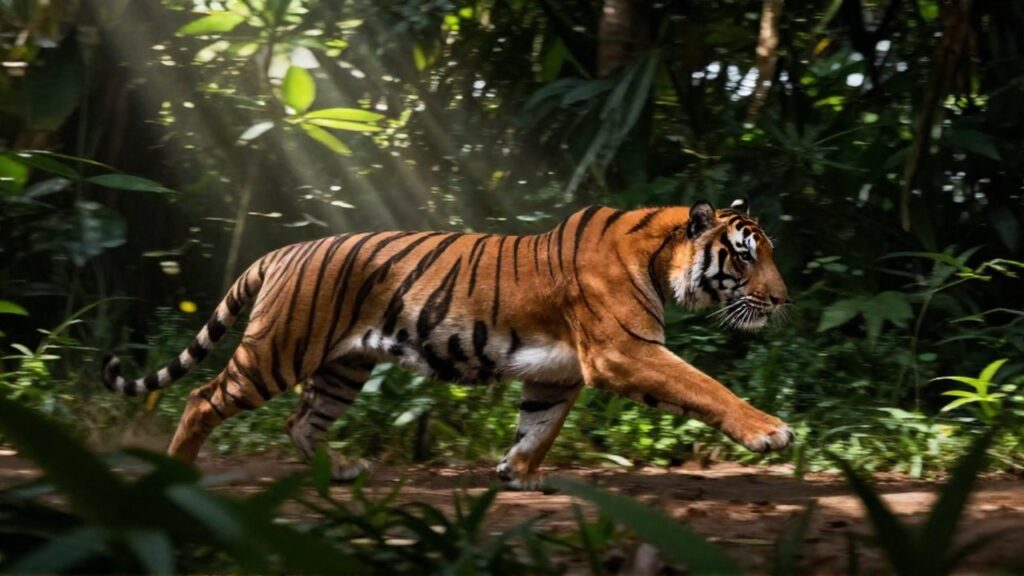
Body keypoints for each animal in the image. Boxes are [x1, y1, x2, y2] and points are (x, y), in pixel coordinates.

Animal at [103, 199, 792, 490]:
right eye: (745, 255)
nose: (784, 300)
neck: (659, 258)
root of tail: (281, 251)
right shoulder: (625, 353)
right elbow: (705, 386)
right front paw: (770, 433)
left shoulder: (557, 374)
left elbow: (538, 428)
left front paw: (517, 475)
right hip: (277, 351)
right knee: (203, 399)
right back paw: (178, 474)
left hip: (343, 367)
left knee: (301, 420)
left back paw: (342, 471)